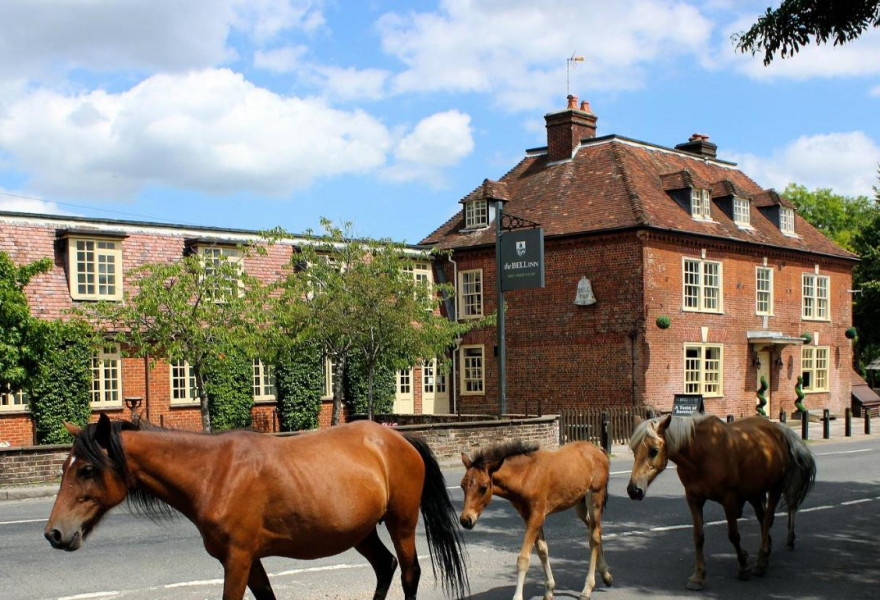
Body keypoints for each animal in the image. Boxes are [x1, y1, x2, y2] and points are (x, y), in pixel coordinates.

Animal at [43, 414, 468, 600]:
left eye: (86, 469)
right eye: (65, 468)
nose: (54, 533)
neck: (215, 472)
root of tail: (398, 438)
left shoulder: (238, 559)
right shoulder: (250, 560)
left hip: (401, 523)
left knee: (409, 573)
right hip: (360, 531)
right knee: (385, 567)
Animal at [460, 440, 612, 600]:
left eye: (483, 487)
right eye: (462, 485)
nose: (466, 520)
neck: (525, 476)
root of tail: (599, 450)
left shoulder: (537, 516)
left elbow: (523, 558)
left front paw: (517, 597)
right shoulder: (528, 517)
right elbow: (542, 550)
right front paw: (549, 590)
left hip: (595, 496)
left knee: (594, 536)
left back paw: (587, 589)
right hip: (579, 504)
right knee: (595, 530)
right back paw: (606, 575)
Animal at [628, 414, 816, 588]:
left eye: (653, 450)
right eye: (634, 450)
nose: (633, 490)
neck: (702, 454)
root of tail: (778, 430)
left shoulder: (729, 499)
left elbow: (733, 535)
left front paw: (743, 566)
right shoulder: (694, 498)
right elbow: (698, 536)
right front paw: (698, 576)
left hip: (775, 487)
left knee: (768, 519)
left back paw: (762, 561)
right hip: (754, 492)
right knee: (763, 519)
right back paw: (766, 551)